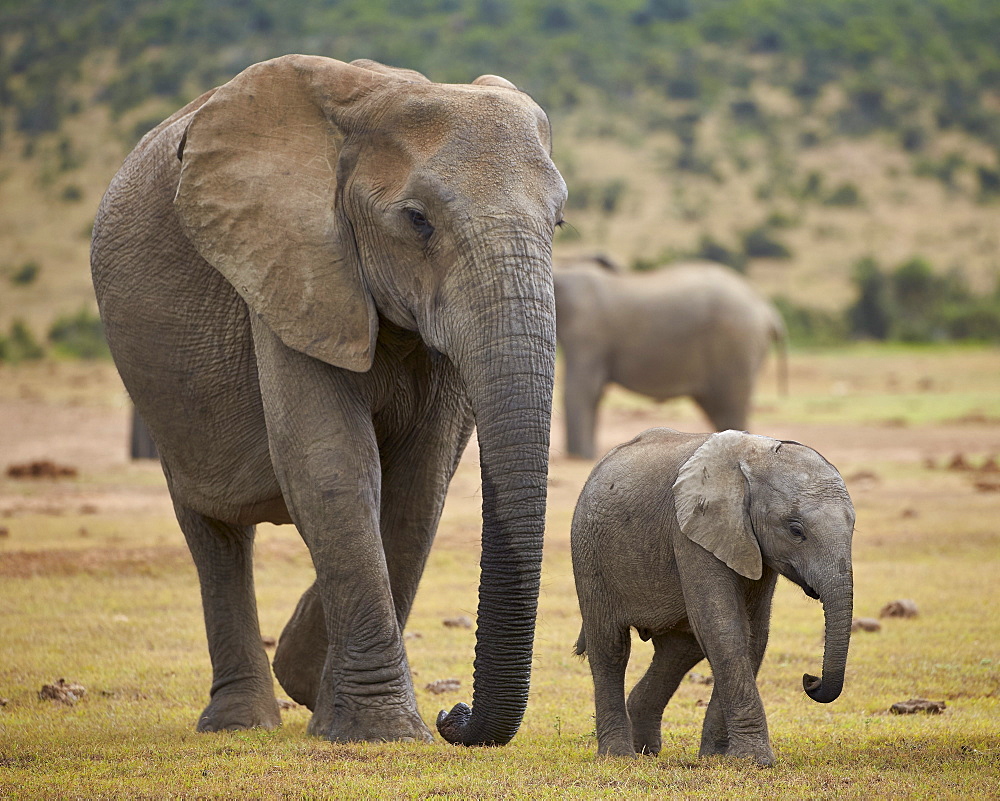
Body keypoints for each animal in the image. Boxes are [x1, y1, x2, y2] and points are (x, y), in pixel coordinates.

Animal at [93, 53, 568, 748]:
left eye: (557, 223)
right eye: (417, 220)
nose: (454, 716)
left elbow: (418, 486)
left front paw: (315, 684)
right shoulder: (291, 263)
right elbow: (333, 467)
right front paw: (380, 732)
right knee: (212, 529)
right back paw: (239, 723)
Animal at [552, 262, 784, 460]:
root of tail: (768, 310)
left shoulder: (587, 329)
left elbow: (583, 389)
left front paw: (581, 458)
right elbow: (593, 392)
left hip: (736, 341)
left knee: (731, 403)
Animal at [576, 428, 856, 764]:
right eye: (795, 530)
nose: (810, 680)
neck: (755, 458)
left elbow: (753, 635)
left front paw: (717, 758)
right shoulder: (691, 530)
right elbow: (723, 628)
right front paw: (754, 762)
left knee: (679, 652)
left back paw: (646, 752)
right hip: (589, 551)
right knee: (611, 647)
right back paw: (619, 757)